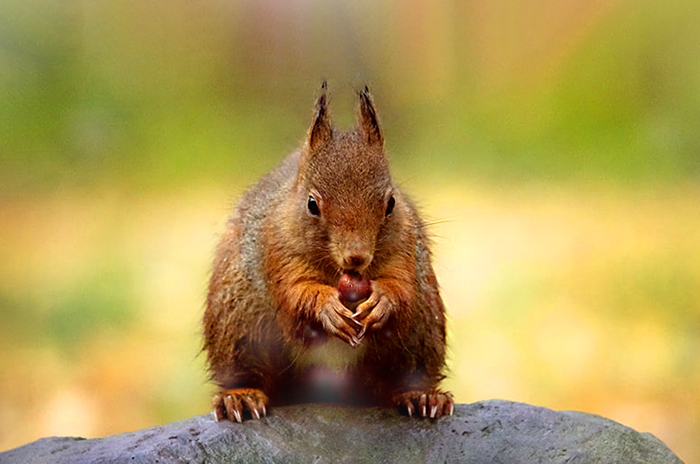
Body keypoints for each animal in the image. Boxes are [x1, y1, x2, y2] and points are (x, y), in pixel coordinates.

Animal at [203, 83, 452, 422]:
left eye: (390, 203)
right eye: (312, 204)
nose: (357, 257)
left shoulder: (404, 247)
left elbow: (400, 286)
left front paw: (382, 300)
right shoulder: (277, 249)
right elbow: (296, 291)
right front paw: (326, 307)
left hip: (421, 332)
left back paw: (422, 395)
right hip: (240, 328)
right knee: (245, 372)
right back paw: (240, 397)